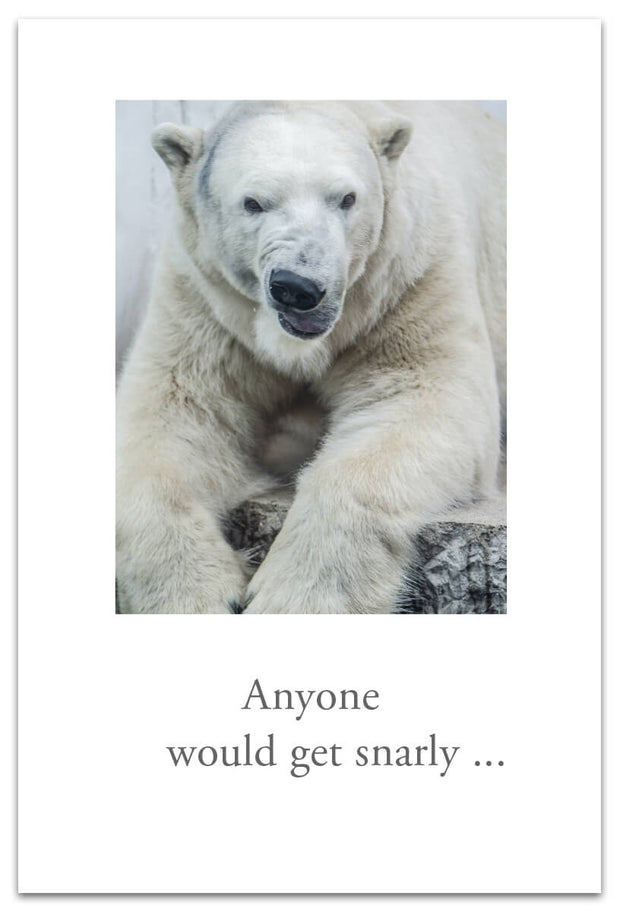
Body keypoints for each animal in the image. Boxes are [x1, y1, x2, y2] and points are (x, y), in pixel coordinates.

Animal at [116, 100, 506, 614]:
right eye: (253, 202)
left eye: (347, 198)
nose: (299, 287)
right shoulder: (204, 298)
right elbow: (172, 415)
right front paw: (198, 595)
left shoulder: (409, 276)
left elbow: (424, 397)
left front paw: (290, 598)